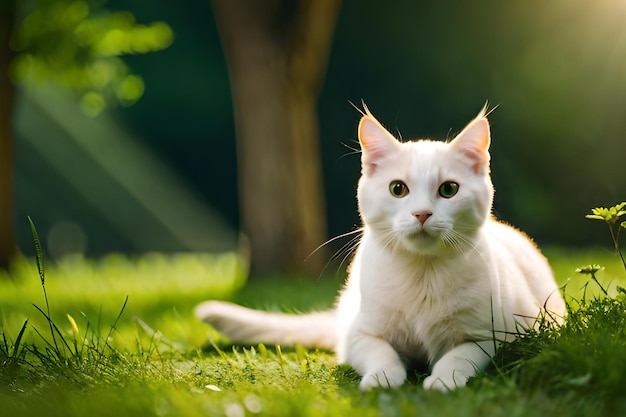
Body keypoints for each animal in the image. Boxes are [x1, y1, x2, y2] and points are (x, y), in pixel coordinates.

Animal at [196, 107, 564, 390]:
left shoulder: (501, 336)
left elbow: (461, 354)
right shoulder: (358, 334)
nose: (422, 213)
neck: (423, 275)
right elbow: (381, 353)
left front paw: (443, 380)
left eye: (449, 189)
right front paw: (383, 378)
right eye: (398, 189)